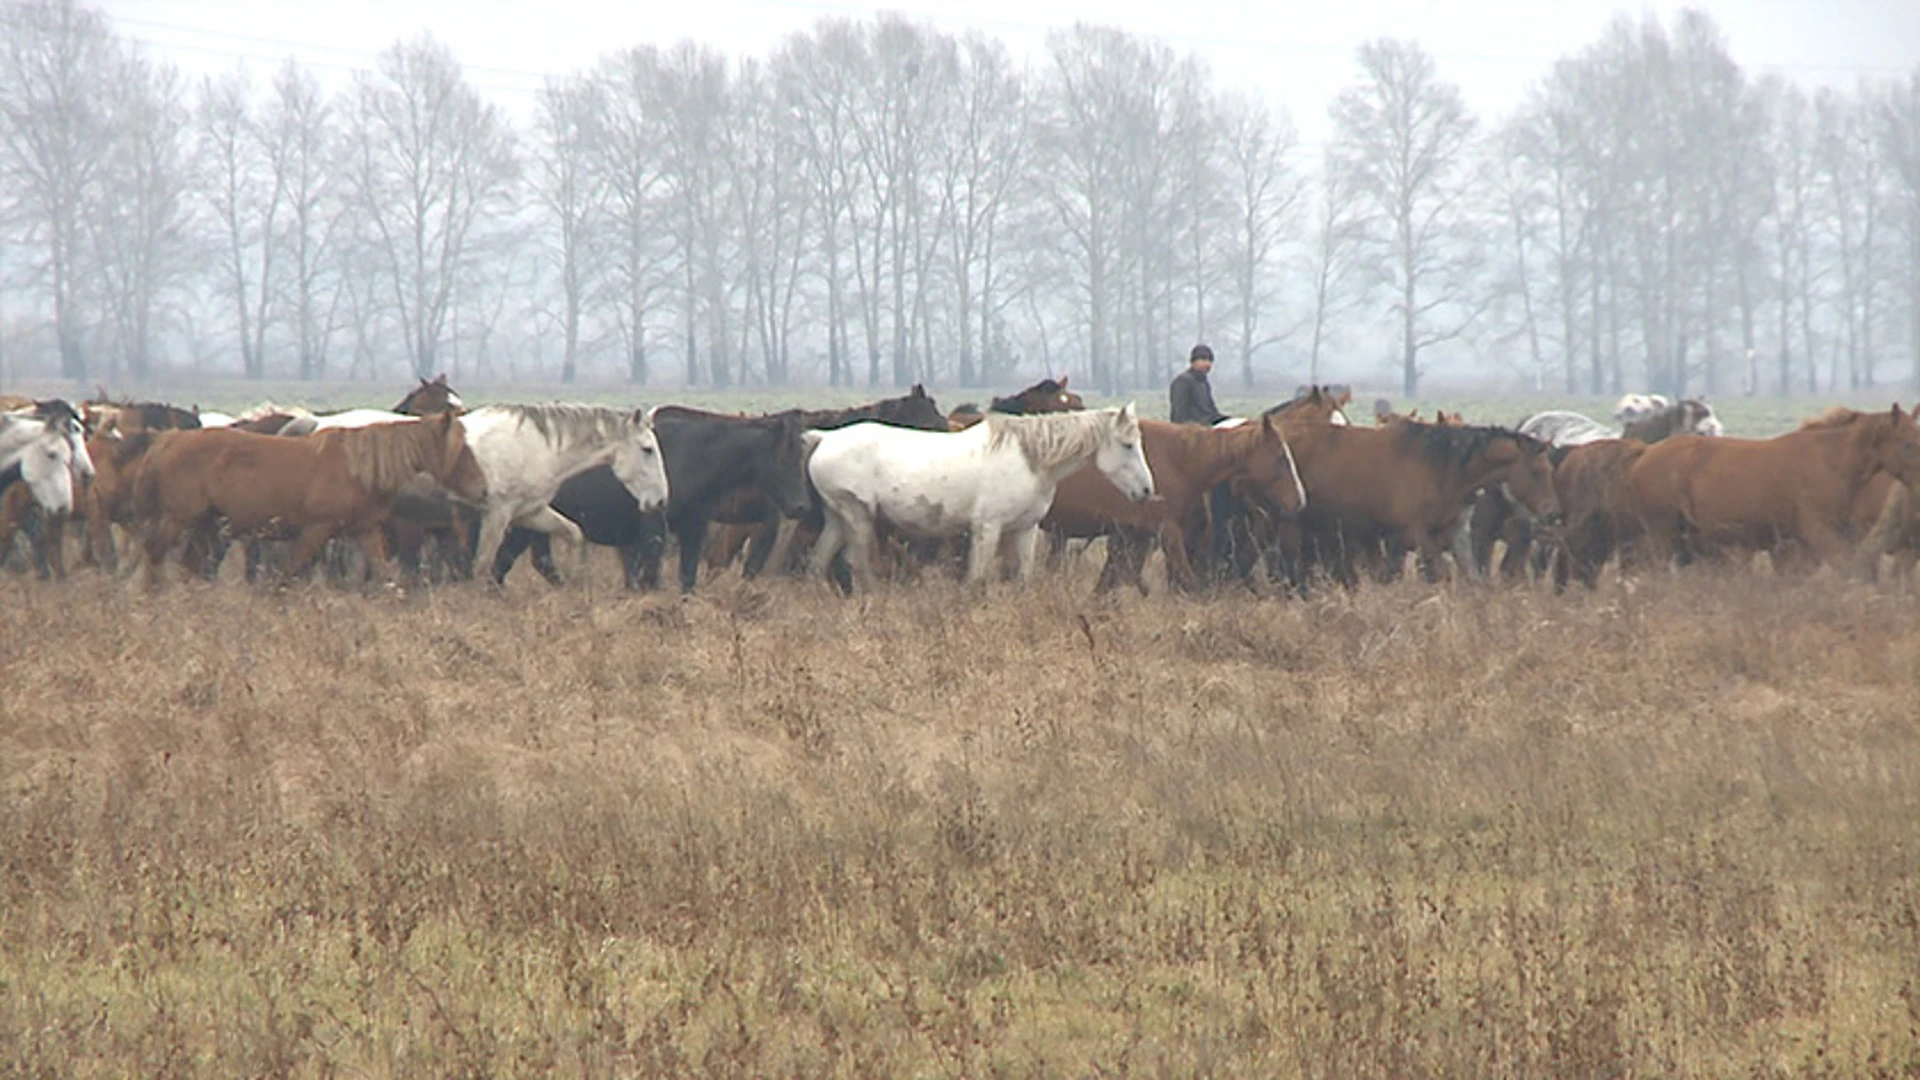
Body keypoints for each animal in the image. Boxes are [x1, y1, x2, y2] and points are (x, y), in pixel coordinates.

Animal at [134, 411, 487, 584]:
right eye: (461, 451)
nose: (482, 489)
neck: (355, 467)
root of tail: (169, 440)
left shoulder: (365, 531)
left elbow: (383, 575)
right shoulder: (315, 531)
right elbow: (287, 573)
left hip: (206, 525)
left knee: (189, 565)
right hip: (179, 520)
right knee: (155, 555)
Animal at [458, 399, 675, 576]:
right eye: (647, 449)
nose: (661, 500)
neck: (533, 449)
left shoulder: (529, 512)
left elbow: (574, 534)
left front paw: (573, 578)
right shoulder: (497, 514)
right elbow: (482, 565)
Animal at [798, 401, 1144, 588]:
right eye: (1128, 445)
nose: (1145, 490)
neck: (1027, 459)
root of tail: (824, 438)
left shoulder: (1025, 530)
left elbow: (1023, 577)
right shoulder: (987, 528)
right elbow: (977, 579)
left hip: (837, 518)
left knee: (817, 562)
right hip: (856, 516)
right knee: (857, 563)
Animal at [1044, 417, 1313, 591]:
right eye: (1281, 458)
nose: (1299, 501)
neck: (1177, 459)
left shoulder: (1133, 534)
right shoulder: (1168, 532)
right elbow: (1189, 582)